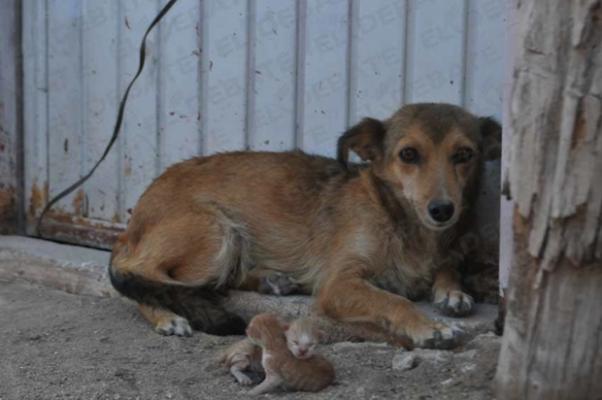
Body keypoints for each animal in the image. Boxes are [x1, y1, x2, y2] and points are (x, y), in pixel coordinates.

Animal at [109, 102, 502, 346]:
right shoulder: (339, 283)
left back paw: (270, 280)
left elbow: (447, 269)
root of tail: (133, 222)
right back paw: (167, 316)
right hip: (216, 232)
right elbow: (394, 300)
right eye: (408, 154)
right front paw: (428, 327)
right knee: (139, 275)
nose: (442, 210)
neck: (402, 222)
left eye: (463, 155)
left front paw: (452, 292)